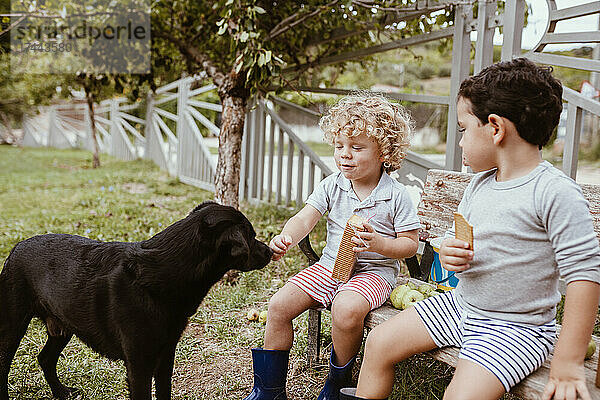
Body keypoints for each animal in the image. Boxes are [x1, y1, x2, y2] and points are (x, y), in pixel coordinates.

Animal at [0, 202, 272, 400]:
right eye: (251, 236)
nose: (270, 251)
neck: (162, 272)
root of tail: (16, 248)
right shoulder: (139, 364)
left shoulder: (166, 356)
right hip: (13, 326)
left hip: (62, 325)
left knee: (45, 358)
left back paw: (60, 392)